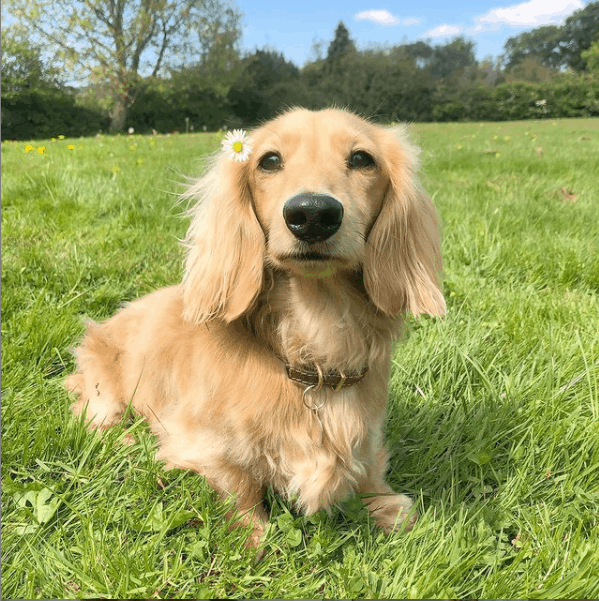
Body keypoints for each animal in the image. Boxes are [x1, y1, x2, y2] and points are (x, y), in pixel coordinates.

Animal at [67, 106, 446, 548]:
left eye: (361, 158)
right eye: (269, 160)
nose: (312, 214)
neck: (314, 340)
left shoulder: (366, 432)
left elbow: (367, 466)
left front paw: (384, 505)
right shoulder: (197, 442)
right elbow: (238, 480)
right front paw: (252, 534)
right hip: (102, 382)